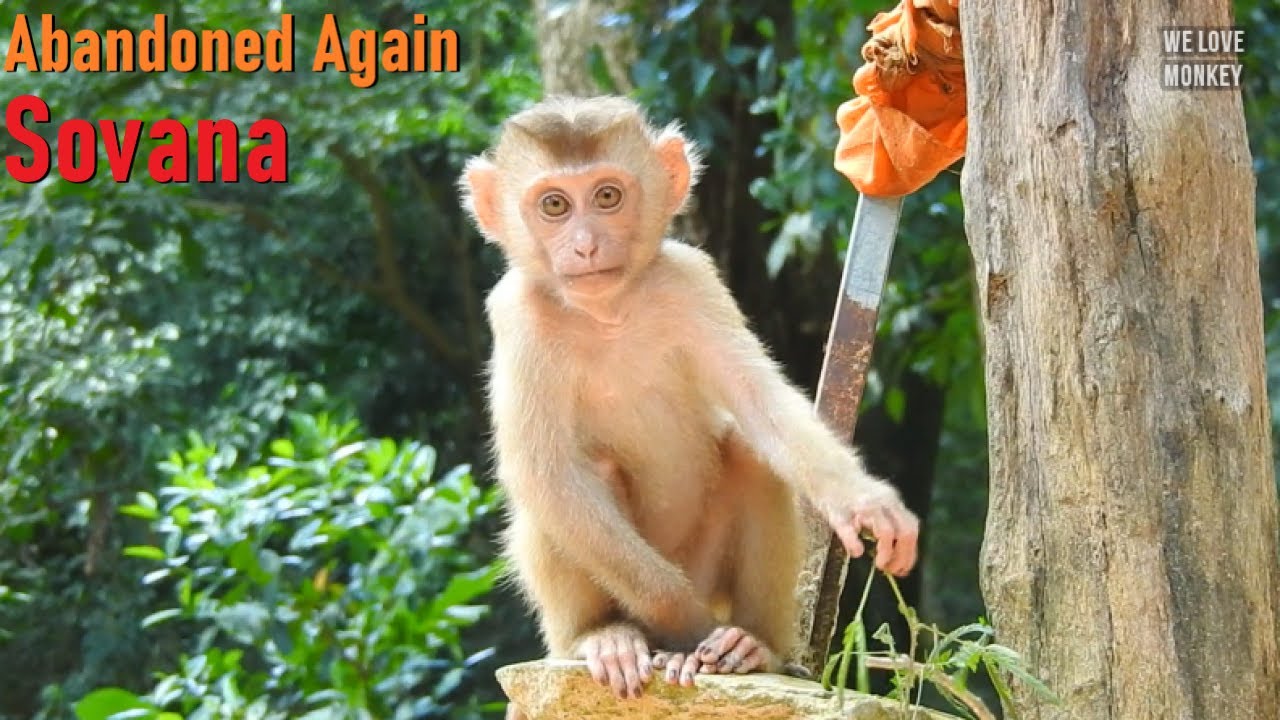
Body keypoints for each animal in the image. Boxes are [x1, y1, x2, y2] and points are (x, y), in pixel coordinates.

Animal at [459, 95, 919, 711]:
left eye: (608, 196)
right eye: (554, 205)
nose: (585, 245)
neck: (609, 312)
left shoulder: (691, 279)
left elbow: (759, 401)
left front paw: (863, 501)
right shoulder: (516, 314)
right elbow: (545, 473)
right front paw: (685, 626)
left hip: (709, 566)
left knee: (749, 454)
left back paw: (753, 645)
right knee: (562, 491)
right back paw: (604, 637)